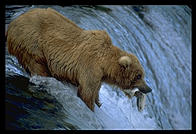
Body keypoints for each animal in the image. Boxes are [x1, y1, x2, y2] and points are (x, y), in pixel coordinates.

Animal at [6, 7, 152, 111]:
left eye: (142, 74)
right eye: (139, 75)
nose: (149, 89)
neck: (105, 65)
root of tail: (12, 24)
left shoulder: (99, 76)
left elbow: (95, 91)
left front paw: (98, 102)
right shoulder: (90, 66)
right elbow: (86, 92)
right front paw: (91, 106)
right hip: (31, 43)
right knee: (38, 66)